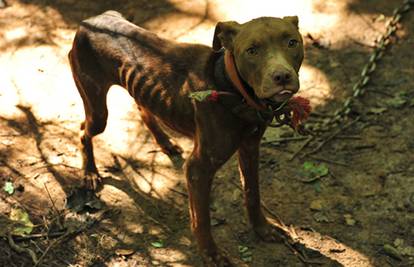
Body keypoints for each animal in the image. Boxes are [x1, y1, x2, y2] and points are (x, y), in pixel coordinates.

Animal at [68, 9, 304, 266]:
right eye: (252, 50)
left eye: (292, 42)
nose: (282, 76)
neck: (231, 87)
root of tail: (91, 20)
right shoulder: (198, 169)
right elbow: (202, 220)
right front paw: (211, 255)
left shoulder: (250, 148)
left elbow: (252, 194)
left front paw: (263, 230)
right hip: (97, 110)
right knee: (82, 131)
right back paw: (90, 173)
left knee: (143, 110)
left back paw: (166, 143)